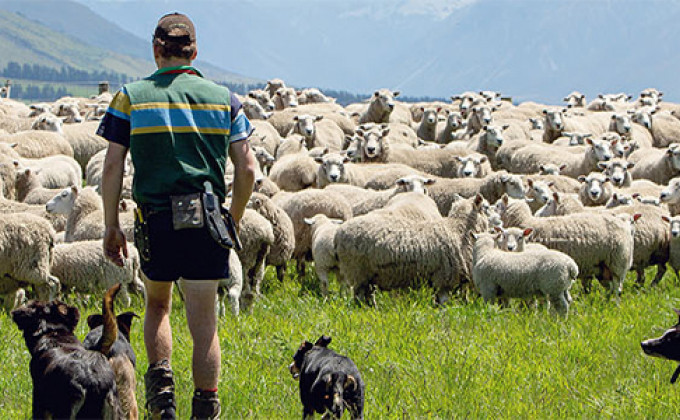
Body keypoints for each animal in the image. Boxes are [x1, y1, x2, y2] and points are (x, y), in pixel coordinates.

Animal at [335, 194, 489, 303]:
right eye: (485, 208)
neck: (458, 229)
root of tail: (338, 233)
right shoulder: (443, 278)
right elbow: (443, 303)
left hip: (368, 276)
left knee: (367, 297)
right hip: (357, 272)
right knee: (360, 299)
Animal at [499, 197, 634, 295]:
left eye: (497, 205)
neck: (527, 223)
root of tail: (625, 227)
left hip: (617, 263)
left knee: (617, 289)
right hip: (603, 268)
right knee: (610, 288)